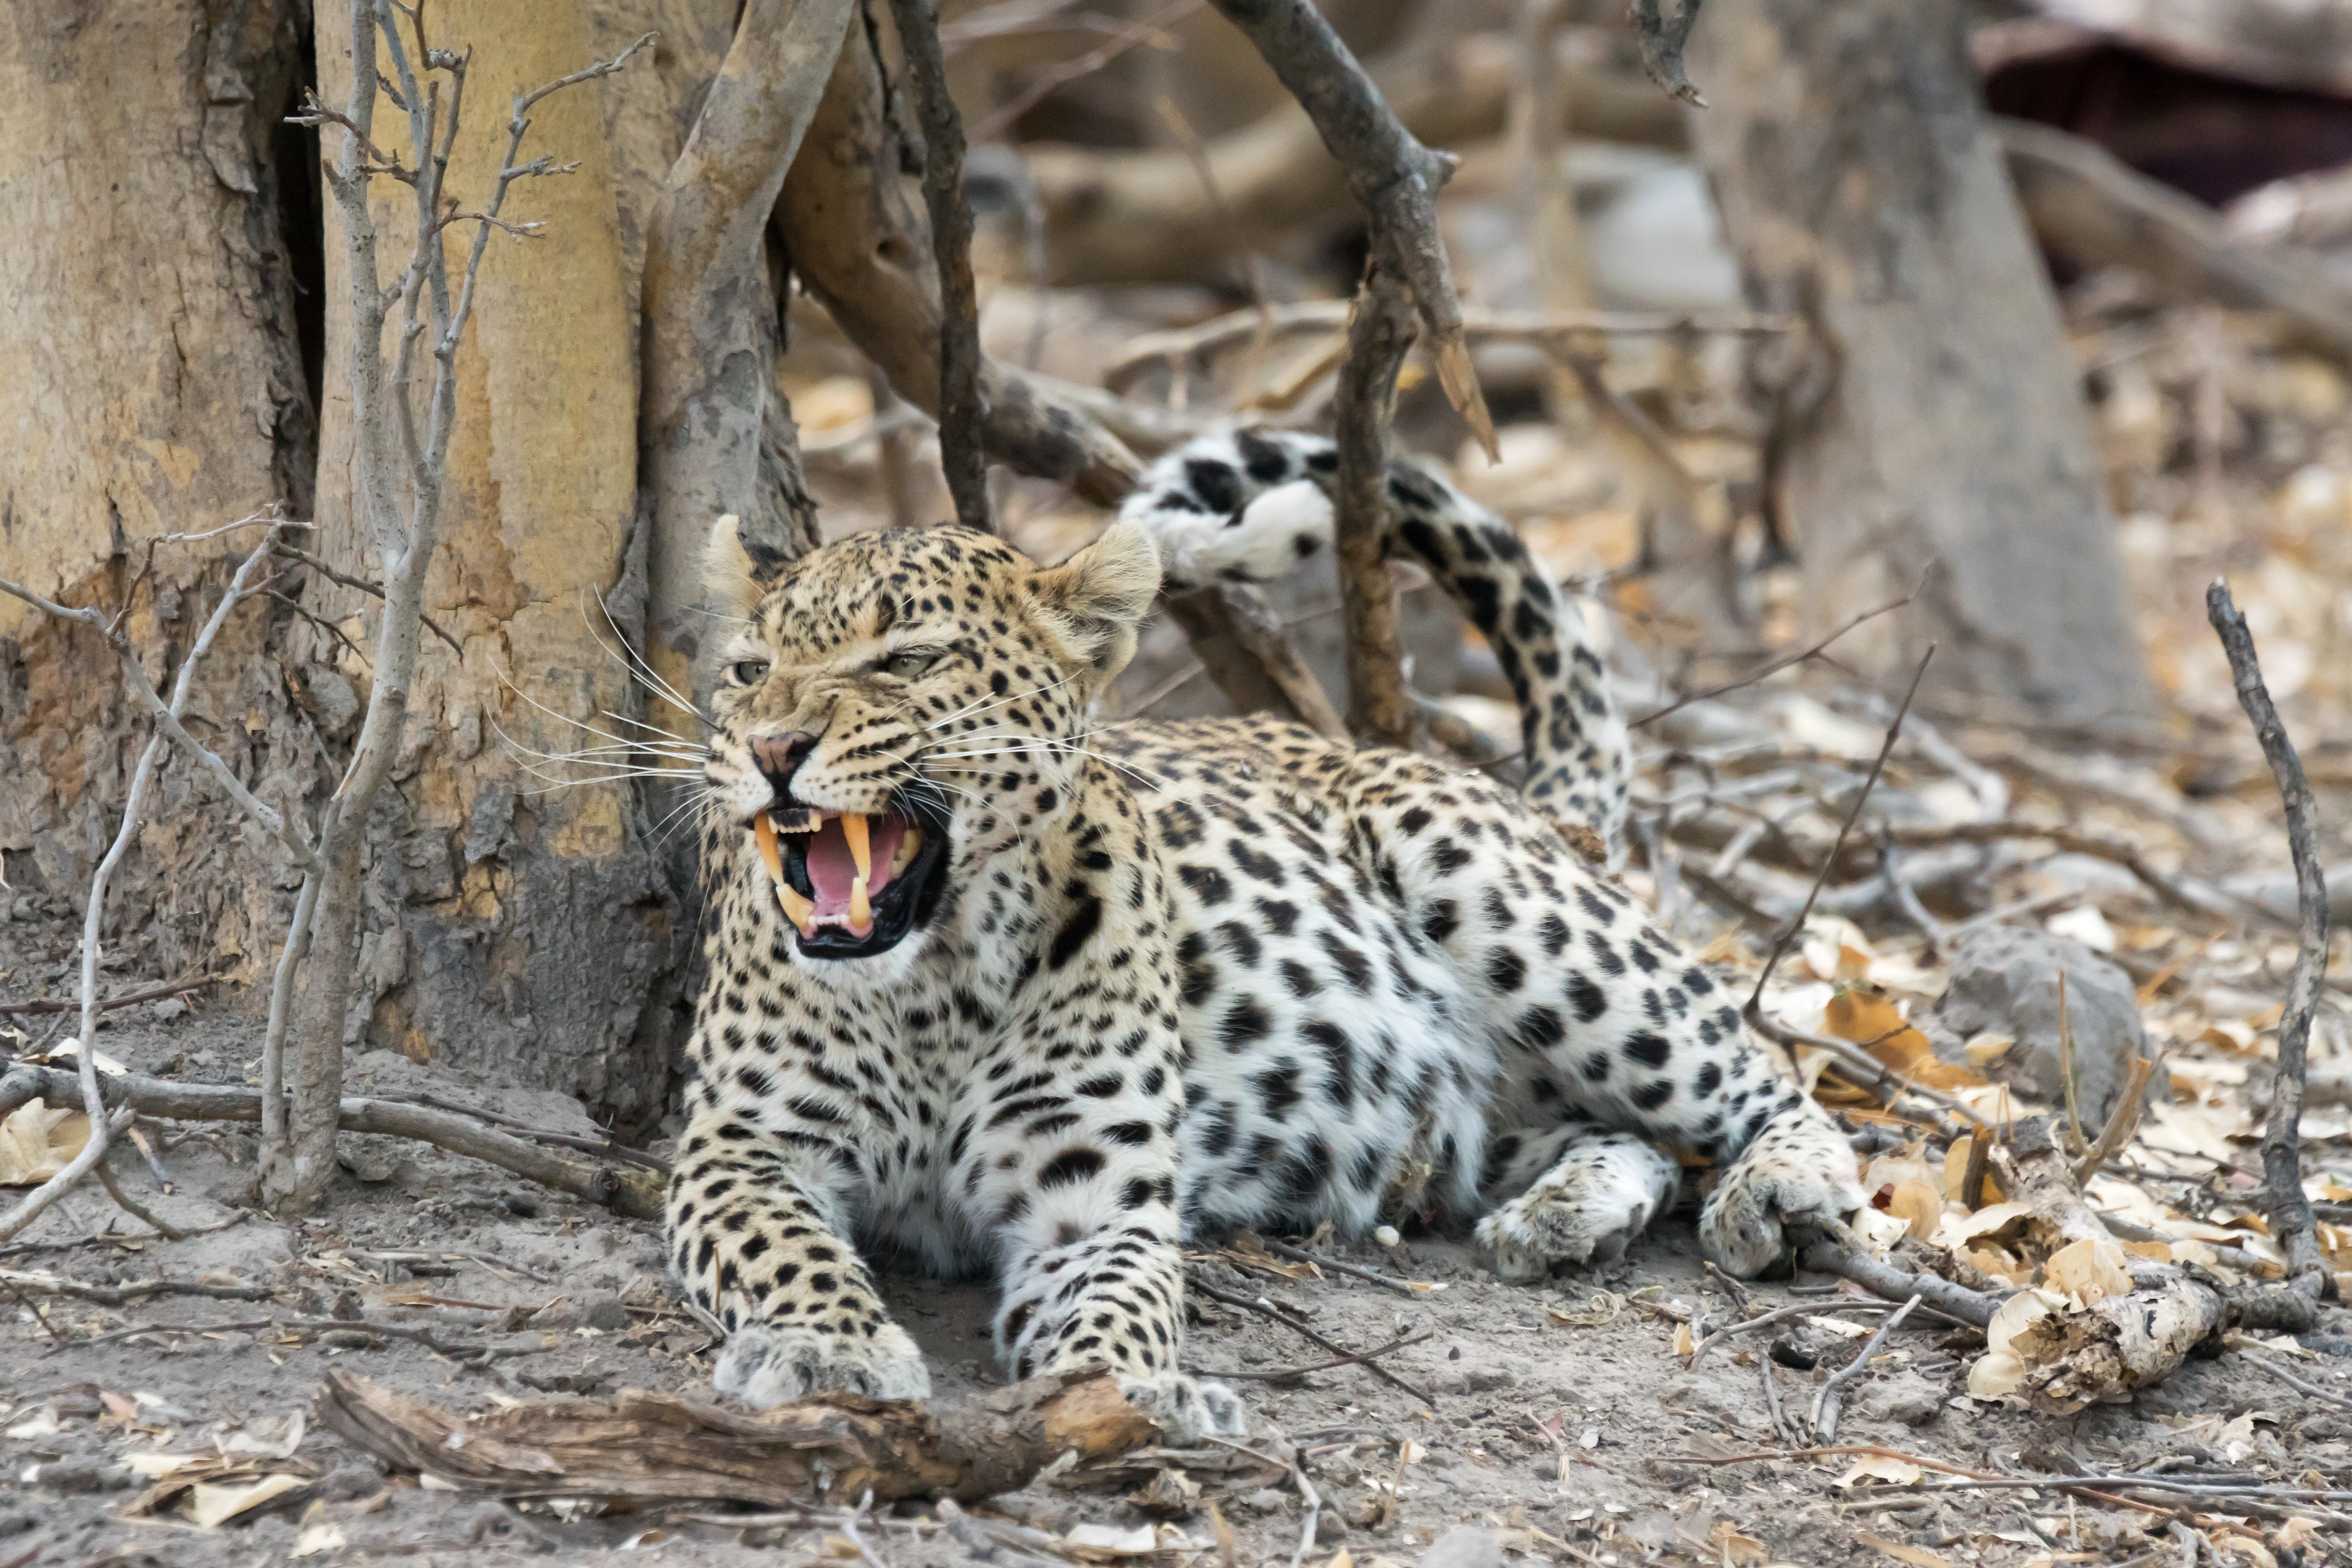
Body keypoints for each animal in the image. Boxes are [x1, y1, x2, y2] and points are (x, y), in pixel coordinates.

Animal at [665, 427, 1865, 1440]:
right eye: (748, 672)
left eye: (907, 661)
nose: (771, 748)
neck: (934, 988)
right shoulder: (741, 1147)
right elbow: (786, 1252)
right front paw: (827, 1348)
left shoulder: (1094, 1197)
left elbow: (1124, 1300)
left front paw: (1126, 1390)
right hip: (1458, 1127)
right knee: (1618, 1135)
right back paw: (1565, 1213)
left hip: (1509, 902)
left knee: (1756, 1074)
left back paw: (1776, 1186)